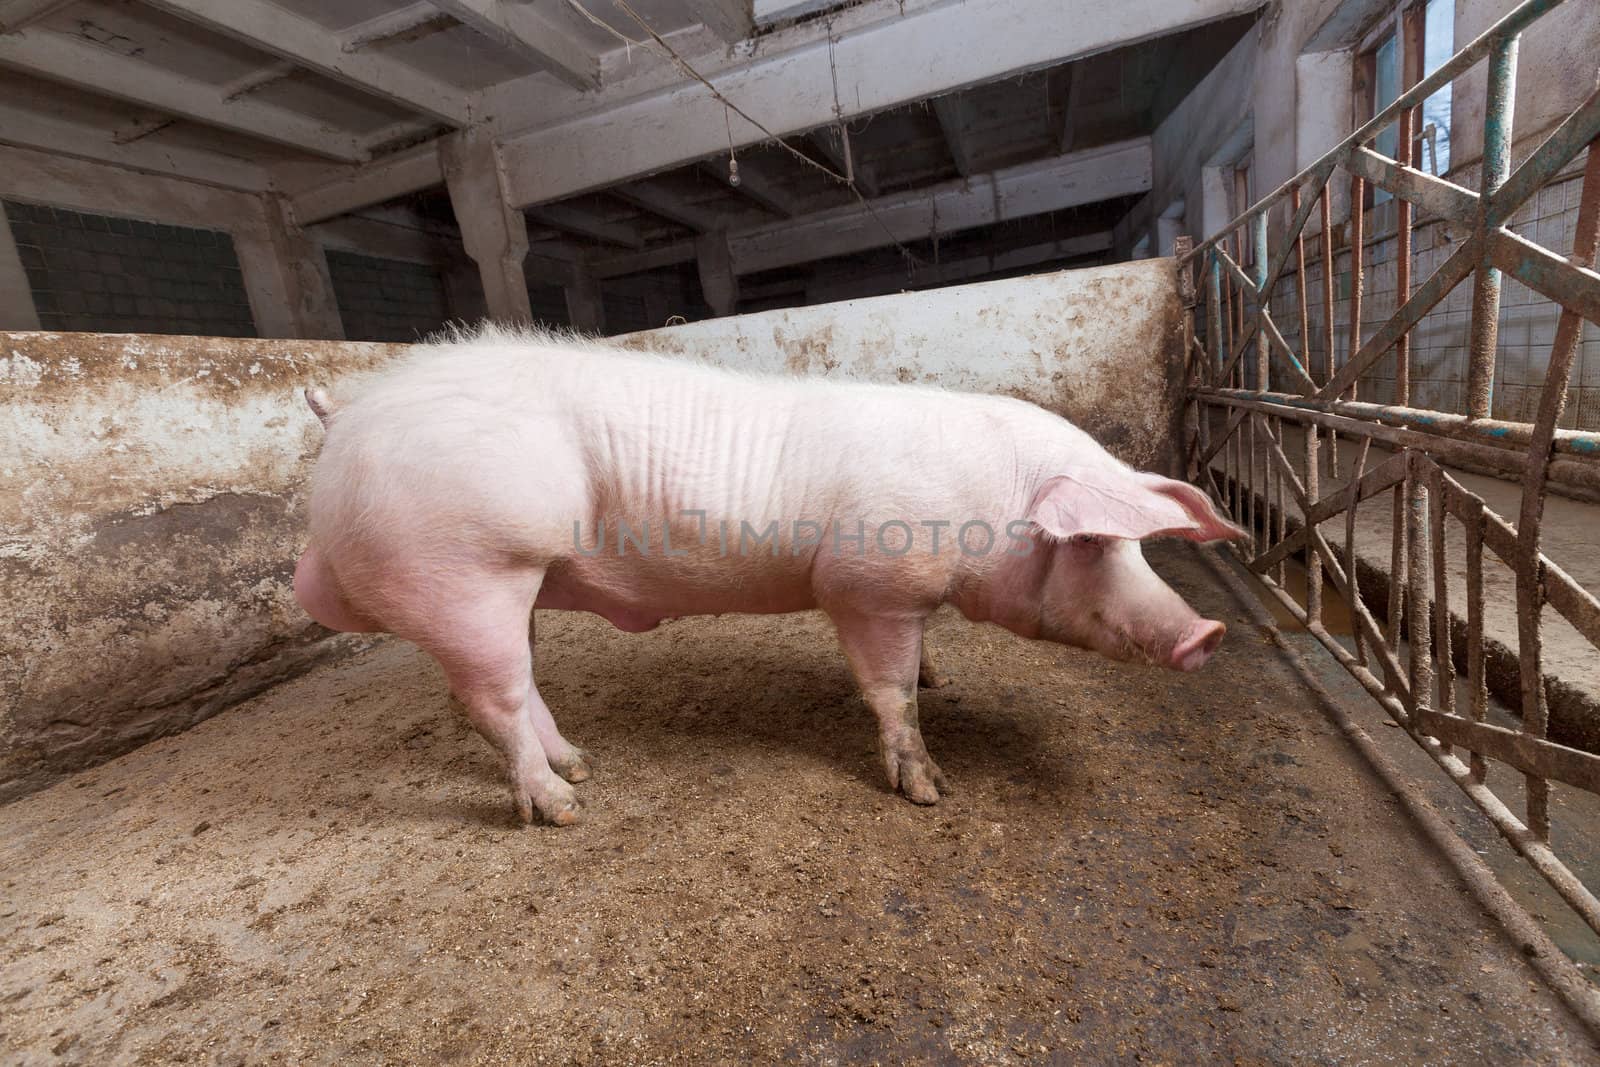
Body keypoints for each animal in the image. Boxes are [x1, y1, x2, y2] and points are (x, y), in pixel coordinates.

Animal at [294, 329, 1241, 831]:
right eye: (1094, 542)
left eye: (1138, 548)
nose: (1209, 633)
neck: (991, 503)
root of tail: (349, 420)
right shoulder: (867, 586)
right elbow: (891, 690)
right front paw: (930, 791)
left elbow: (919, 668)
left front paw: (943, 677)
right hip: (466, 572)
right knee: (490, 699)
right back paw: (564, 807)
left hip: (511, 583)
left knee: (521, 686)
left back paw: (585, 765)